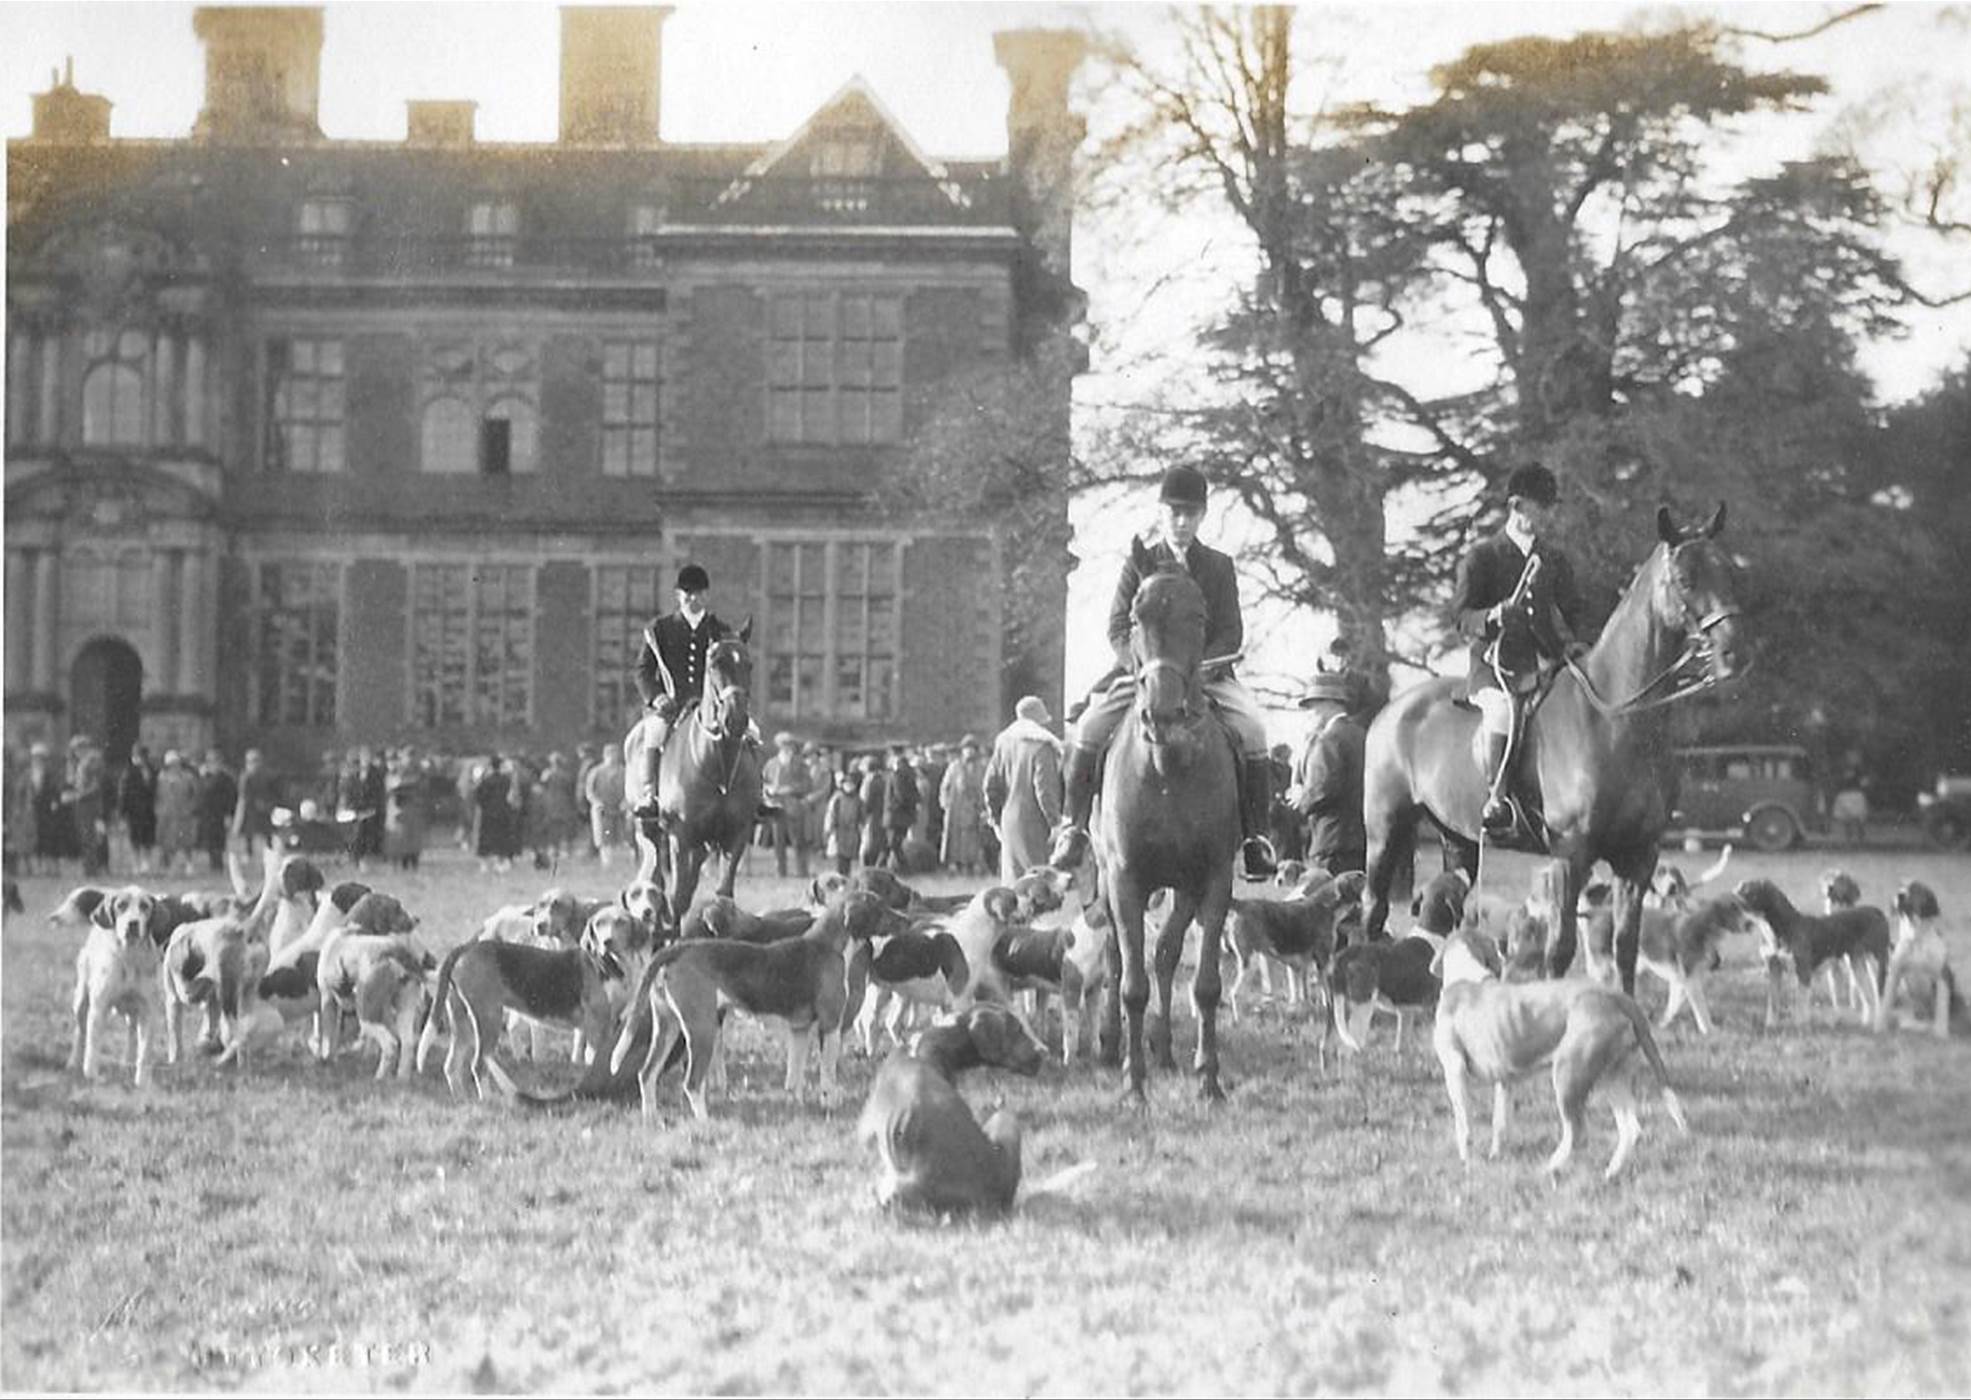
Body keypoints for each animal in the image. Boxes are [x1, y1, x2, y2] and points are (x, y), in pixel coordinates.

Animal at [622, 627, 760, 930]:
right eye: (715, 663)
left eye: (749, 664)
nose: (736, 720)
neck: (718, 766)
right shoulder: (680, 836)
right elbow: (676, 898)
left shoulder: (736, 834)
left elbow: (723, 895)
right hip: (651, 831)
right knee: (658, 881)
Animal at [1087, 548, 1237, 1104]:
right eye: (1136, 616)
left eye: (1198, 617)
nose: (1163, 714)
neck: (1168, 768)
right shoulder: (1126, 880)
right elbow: (1131, 982)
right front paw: (1134, 1085)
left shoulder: (1213, 879)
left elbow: (1205, 983)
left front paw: (1209, 1079)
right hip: (1106, 879)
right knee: (1116, 956)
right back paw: (1112, 1046)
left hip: (1184, 888)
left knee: (1168, 954)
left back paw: (1167, 1049)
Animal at [1363, 508, 1750, 997]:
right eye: (1684, 578)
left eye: (1731, 571)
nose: (1735, 654)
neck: (1616, 719)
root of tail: (1390, 710)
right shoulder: (1571, 854)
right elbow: (1560, 949)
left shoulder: (1639, 856)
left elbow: (1625, 945)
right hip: (1384, 830)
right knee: (1373, 907)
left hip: (1459, 839)